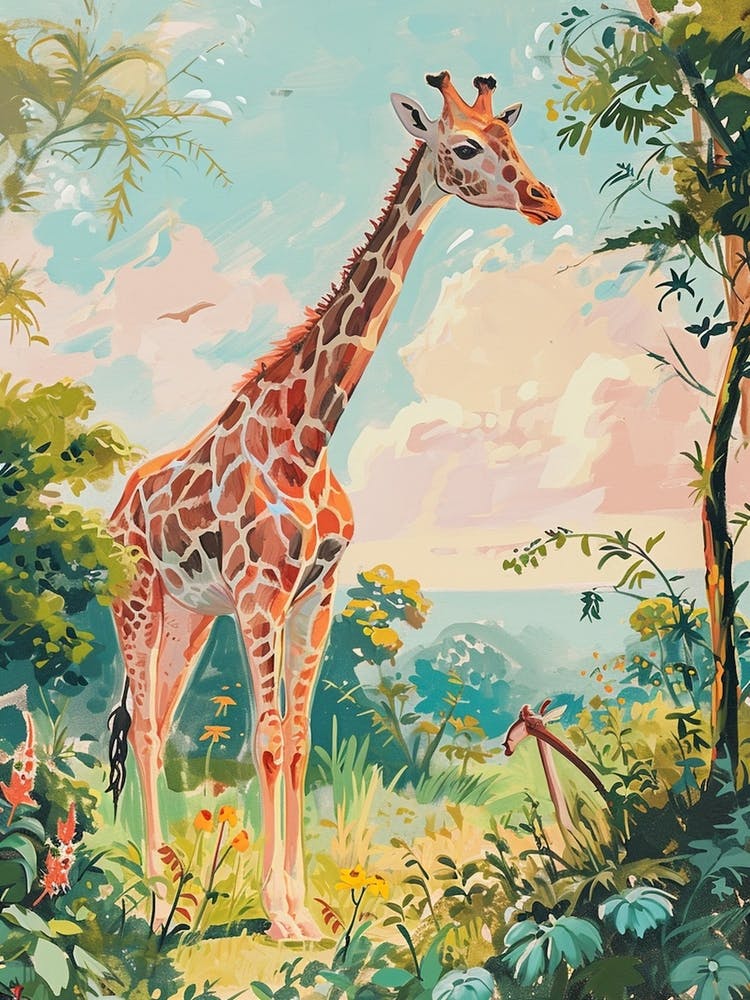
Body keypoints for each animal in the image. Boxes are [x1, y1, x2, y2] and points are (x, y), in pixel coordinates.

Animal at [107, 70, 562, 941]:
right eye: (464, 146)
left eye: (515, 140)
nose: (543, 199)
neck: (308, 437)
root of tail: (115, 509)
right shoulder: (260, 597)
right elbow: (265, 740)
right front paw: (282, 917)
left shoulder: (315, 595)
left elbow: (299, 737)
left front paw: (301, 912)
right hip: (138, 602)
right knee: (143, 726)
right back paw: (149, 898)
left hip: (189, 615)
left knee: (159, 724)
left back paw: (169, 885)